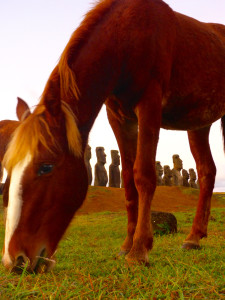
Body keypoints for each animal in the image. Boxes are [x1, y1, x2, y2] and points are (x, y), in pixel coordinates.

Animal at [1, 0, 225, 272]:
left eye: (46, 167)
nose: (15, 260)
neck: (126, 38)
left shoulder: (149, 104)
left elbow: (144, 175)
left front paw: (139, 250)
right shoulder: (118, 117)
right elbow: (128, 180)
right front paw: (127, 244)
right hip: (199, 122)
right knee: (206, 171)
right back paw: (194, 238)